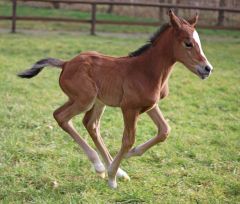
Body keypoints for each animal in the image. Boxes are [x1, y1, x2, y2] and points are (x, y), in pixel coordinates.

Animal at [18, 9, 212, 188]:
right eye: (188, 43)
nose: (207, 68)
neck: (147, 70)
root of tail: (66, 64)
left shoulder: (150, 105)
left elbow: (164, 130)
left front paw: (129, 156)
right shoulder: (129, 108)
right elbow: (128, 140)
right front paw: (112, 177)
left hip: (97, 101)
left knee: (90, 124)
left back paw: (114, 170)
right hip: (85, 100)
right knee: (61, 116)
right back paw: (100, 166)